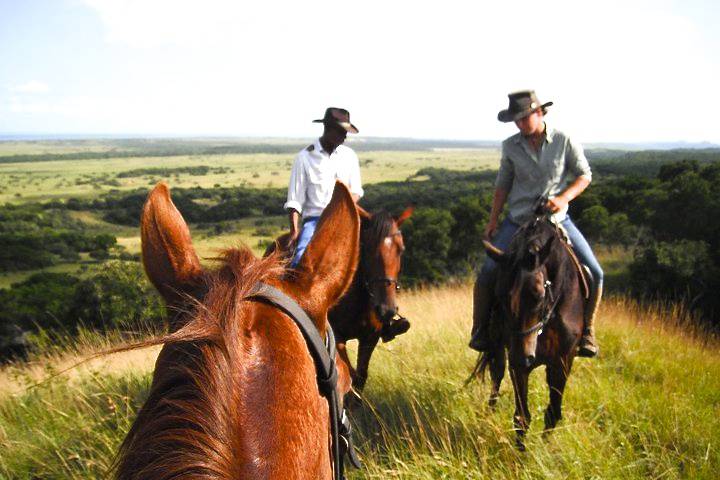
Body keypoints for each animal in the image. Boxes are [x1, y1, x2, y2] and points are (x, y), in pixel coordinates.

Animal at [476, 217, 588, 450]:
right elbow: (521, 417)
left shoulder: (563, 361)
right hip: (498, 347)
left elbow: (553, 412)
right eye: (499, 295)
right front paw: (521, 454)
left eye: (538, 294)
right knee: (496, 376)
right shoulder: (518, 365)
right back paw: (488, 414)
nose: (522, 357)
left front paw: (546, 449)